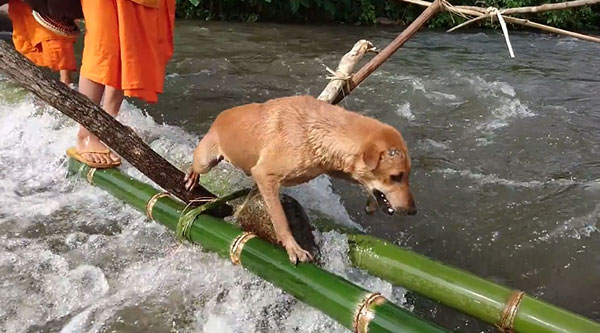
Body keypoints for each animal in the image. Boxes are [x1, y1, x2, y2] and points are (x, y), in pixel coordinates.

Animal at [185, 95, 414, 262]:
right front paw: (293, 248)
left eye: (407, 175)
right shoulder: (265, 174)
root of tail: (221, 115)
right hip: (206, 160)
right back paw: (191, 176)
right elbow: (280, 220)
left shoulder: (334, 168)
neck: (318, 130)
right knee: (196, 164)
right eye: (395, 176)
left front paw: (371, 202)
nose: (413, 211)